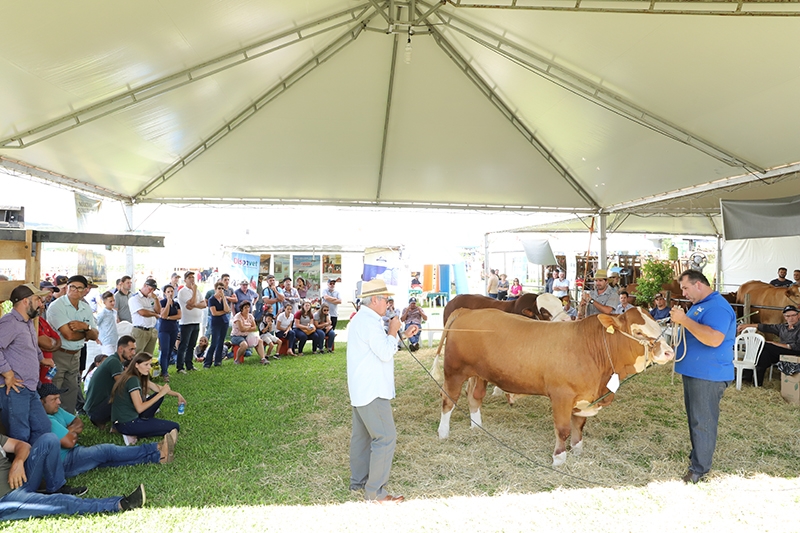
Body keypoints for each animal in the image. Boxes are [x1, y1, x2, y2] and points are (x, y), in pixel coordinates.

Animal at [438, 306, 676, 464]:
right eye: (638, 332)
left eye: (658, 326)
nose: (669, 352)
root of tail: (467, 311)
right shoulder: (562, 396)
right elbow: (562, 429)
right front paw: (559, 458)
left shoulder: (584, 398)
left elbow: (578, 425)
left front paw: (578, 449)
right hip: (454, 371)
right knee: (448, 401)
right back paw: (443, 433)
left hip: (480, 374)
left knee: (474, 397)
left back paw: (477, 427)